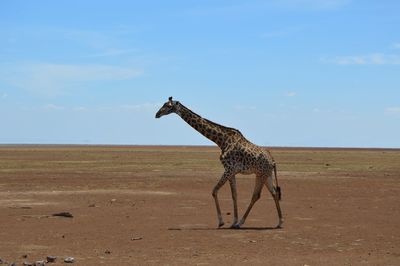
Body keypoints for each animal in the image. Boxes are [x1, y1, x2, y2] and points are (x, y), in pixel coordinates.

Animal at [155, 97, 282, 229]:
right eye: (164, 104)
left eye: (168, 106)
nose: (157, 114)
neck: (221, 141)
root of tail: (273, 161)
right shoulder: (232, 171)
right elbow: (234, 195)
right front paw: (233, 222)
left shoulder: (229, 169)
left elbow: (214, 191)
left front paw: (222, 222)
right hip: (265, 174)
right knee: (274, 193)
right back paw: (279, 222)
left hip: (261, 175)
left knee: (257, 195)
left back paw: (242, 223)